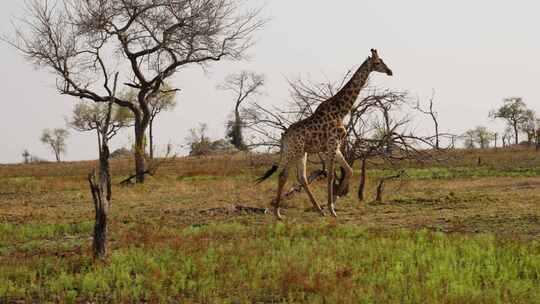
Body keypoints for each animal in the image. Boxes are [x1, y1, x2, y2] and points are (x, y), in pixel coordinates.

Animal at [256, 49, 392, 218]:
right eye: (378, 62)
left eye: (382, 60)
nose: (390, 71)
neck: (341, 111)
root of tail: (284, 136)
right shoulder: (332, 143)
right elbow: (331, 176)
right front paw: (332, 209)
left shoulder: (336, 146)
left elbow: (349, 170)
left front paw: (333, 201)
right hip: (294, 150)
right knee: (283, 175)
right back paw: (278, 213)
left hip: (301, 152)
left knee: (301, 178)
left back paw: (317, 210)